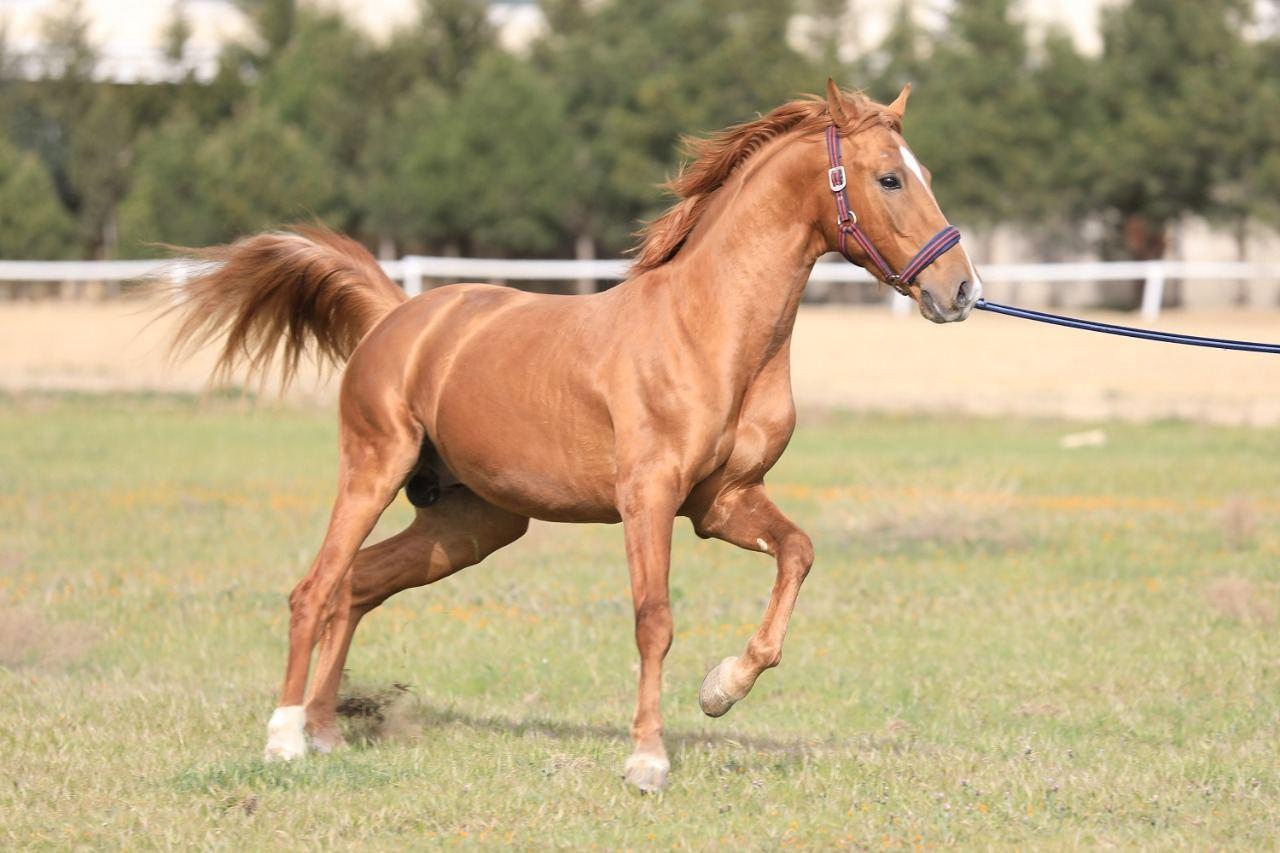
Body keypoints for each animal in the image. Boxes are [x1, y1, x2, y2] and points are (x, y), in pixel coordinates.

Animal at [162, 79, 977, 788]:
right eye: (889, 179)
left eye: (926, 173)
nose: (960, 290)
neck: (705, 330)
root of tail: (397, 314)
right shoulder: (648, 497)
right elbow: (654, 620)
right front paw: (647, 761)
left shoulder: (722, 502)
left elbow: (798, 554)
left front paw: (721, 688)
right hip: (374, 467)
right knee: (314, 588)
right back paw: (285, 738)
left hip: (472, 523)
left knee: (357, 585)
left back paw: (327, 730)